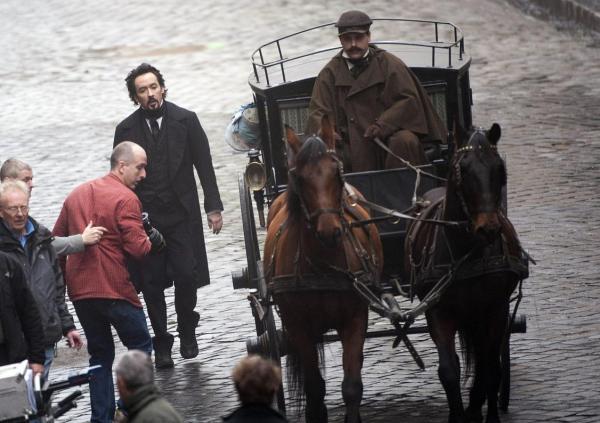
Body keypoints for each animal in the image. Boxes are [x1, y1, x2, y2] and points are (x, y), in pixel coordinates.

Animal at [264, 117, 384, 423]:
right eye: (300, 178)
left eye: (336, 173)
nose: (330, 231)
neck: (323, 266)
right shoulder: (298, 326)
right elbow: (314, 386)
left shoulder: (355, 318)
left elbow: (352, 385)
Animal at [406, 123, 528, 423]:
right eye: (463, 169)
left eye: (499, 169)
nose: (489, 228)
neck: (467, 252)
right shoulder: (438, 312)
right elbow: (449, 371)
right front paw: (458, 414)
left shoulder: (495, 309)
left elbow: (492, 369)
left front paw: (486, 413)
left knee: (486, 361)